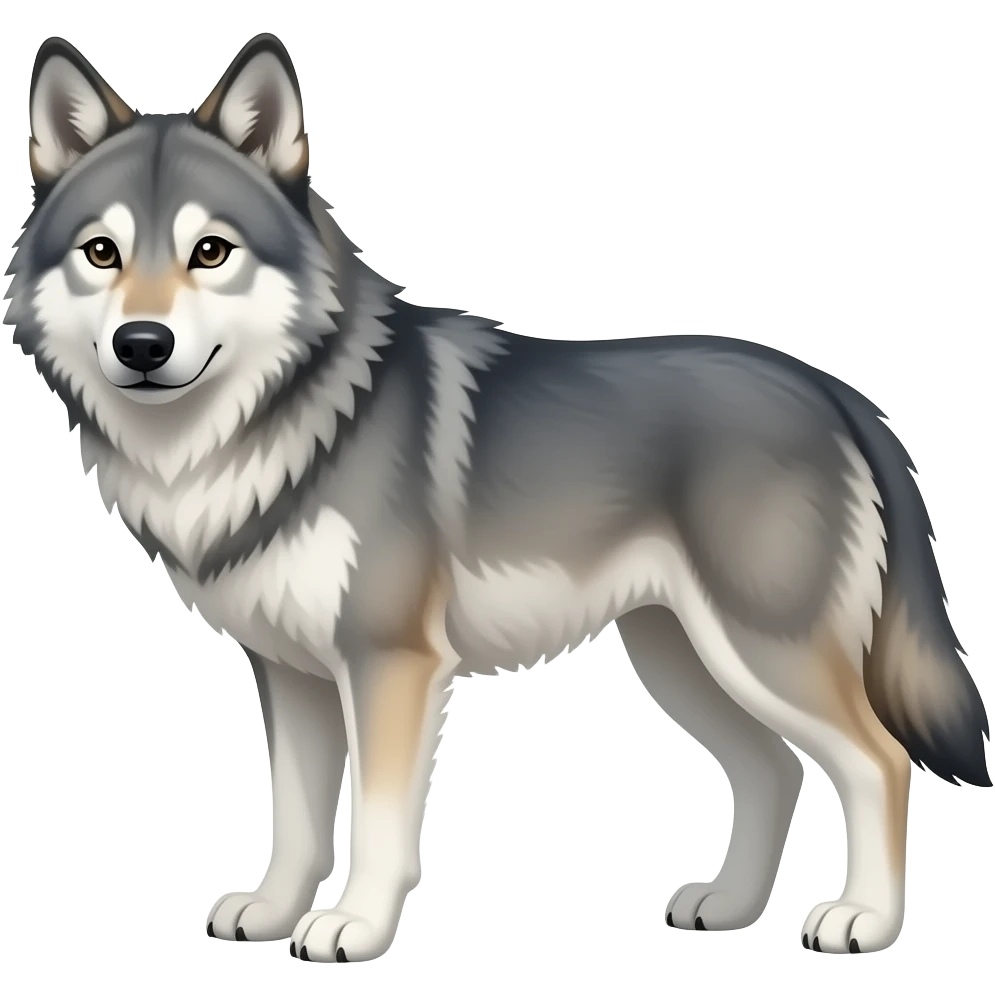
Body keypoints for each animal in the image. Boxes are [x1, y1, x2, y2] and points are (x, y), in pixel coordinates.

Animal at [4, 31, 991, 962]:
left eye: (210, 251)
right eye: (102, 253)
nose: (141, 343)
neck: (279, 426)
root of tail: (835, 392)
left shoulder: (390, 663)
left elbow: (378, 820)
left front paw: (352, 926)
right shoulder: (289, 672)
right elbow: (294, 819)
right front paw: (275, 911)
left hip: (759, 650)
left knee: (878, 761)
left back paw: (862, 919)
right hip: (681, 656)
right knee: (772, 771)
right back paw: (728, 907)